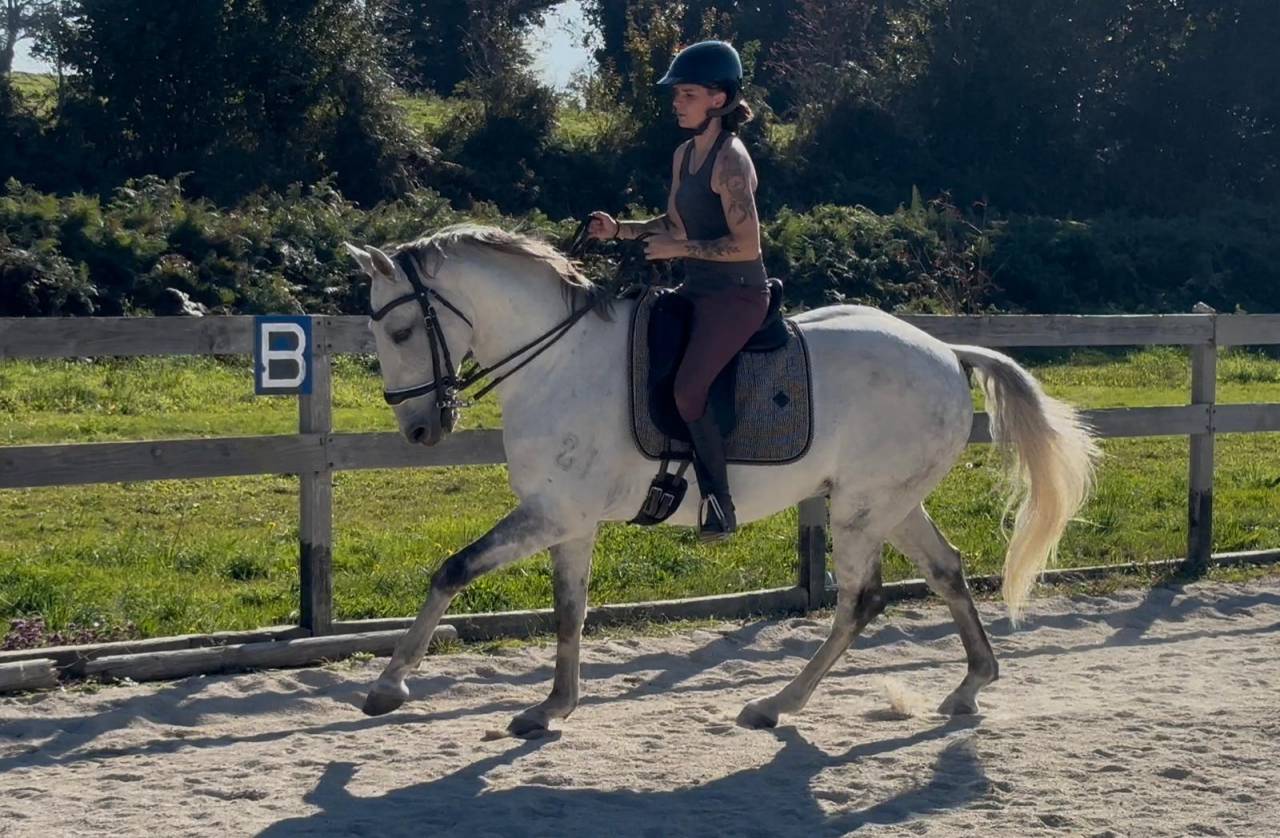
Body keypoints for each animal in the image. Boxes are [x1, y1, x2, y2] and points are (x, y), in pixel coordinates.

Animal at [342, 224, 1098, 736]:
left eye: (402, 331)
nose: (419, 430)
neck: (556, 361)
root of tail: (946, 350)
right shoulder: (569, 521)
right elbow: (567, 611)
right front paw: (554, 706)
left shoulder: (552, 515)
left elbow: (453, 569)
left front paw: (388, 686)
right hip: (891, 504)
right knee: (946, 571)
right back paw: (972, 684)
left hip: (862, 510)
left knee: (859, 602)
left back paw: (776, 703)